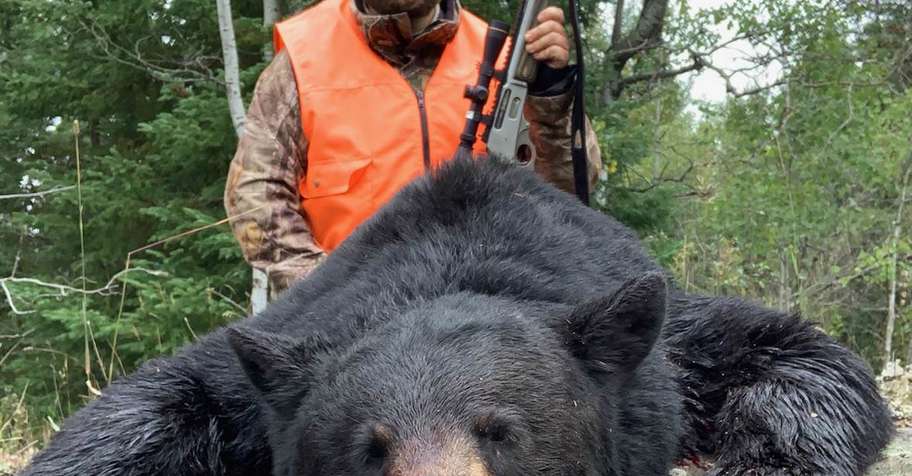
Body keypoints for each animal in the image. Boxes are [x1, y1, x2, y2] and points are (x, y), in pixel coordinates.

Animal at [21, 157, 892, 476]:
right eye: (368, 448)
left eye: (501, 431)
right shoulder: (257, 369)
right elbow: (143, 406)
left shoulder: (673, 346)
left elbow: (799, 355)